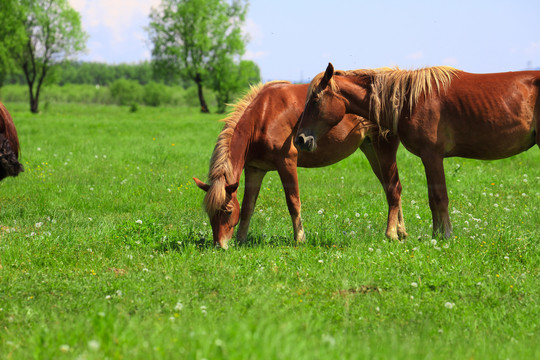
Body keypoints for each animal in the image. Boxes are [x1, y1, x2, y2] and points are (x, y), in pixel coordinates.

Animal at [193, 81, 404, 250]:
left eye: (228, 211)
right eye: (209, 212)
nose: (219, 245)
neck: (263, 115)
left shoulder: (287, 162)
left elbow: (293, 202)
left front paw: (300, 238)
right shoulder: (255, 169)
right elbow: (247, 206)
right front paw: (241, 239)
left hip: (384, 148)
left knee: (393, 187)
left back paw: (393, 233)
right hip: (370, 150)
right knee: (389, 188)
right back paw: (400, 230)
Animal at [298, 64, 536, 239]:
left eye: (315, 99)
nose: (300, 139)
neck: (409, 99)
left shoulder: (432, 156)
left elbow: (439, 197)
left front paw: (445, 235)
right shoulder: (428, 158)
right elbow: (432, 198)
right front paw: (435, 235)